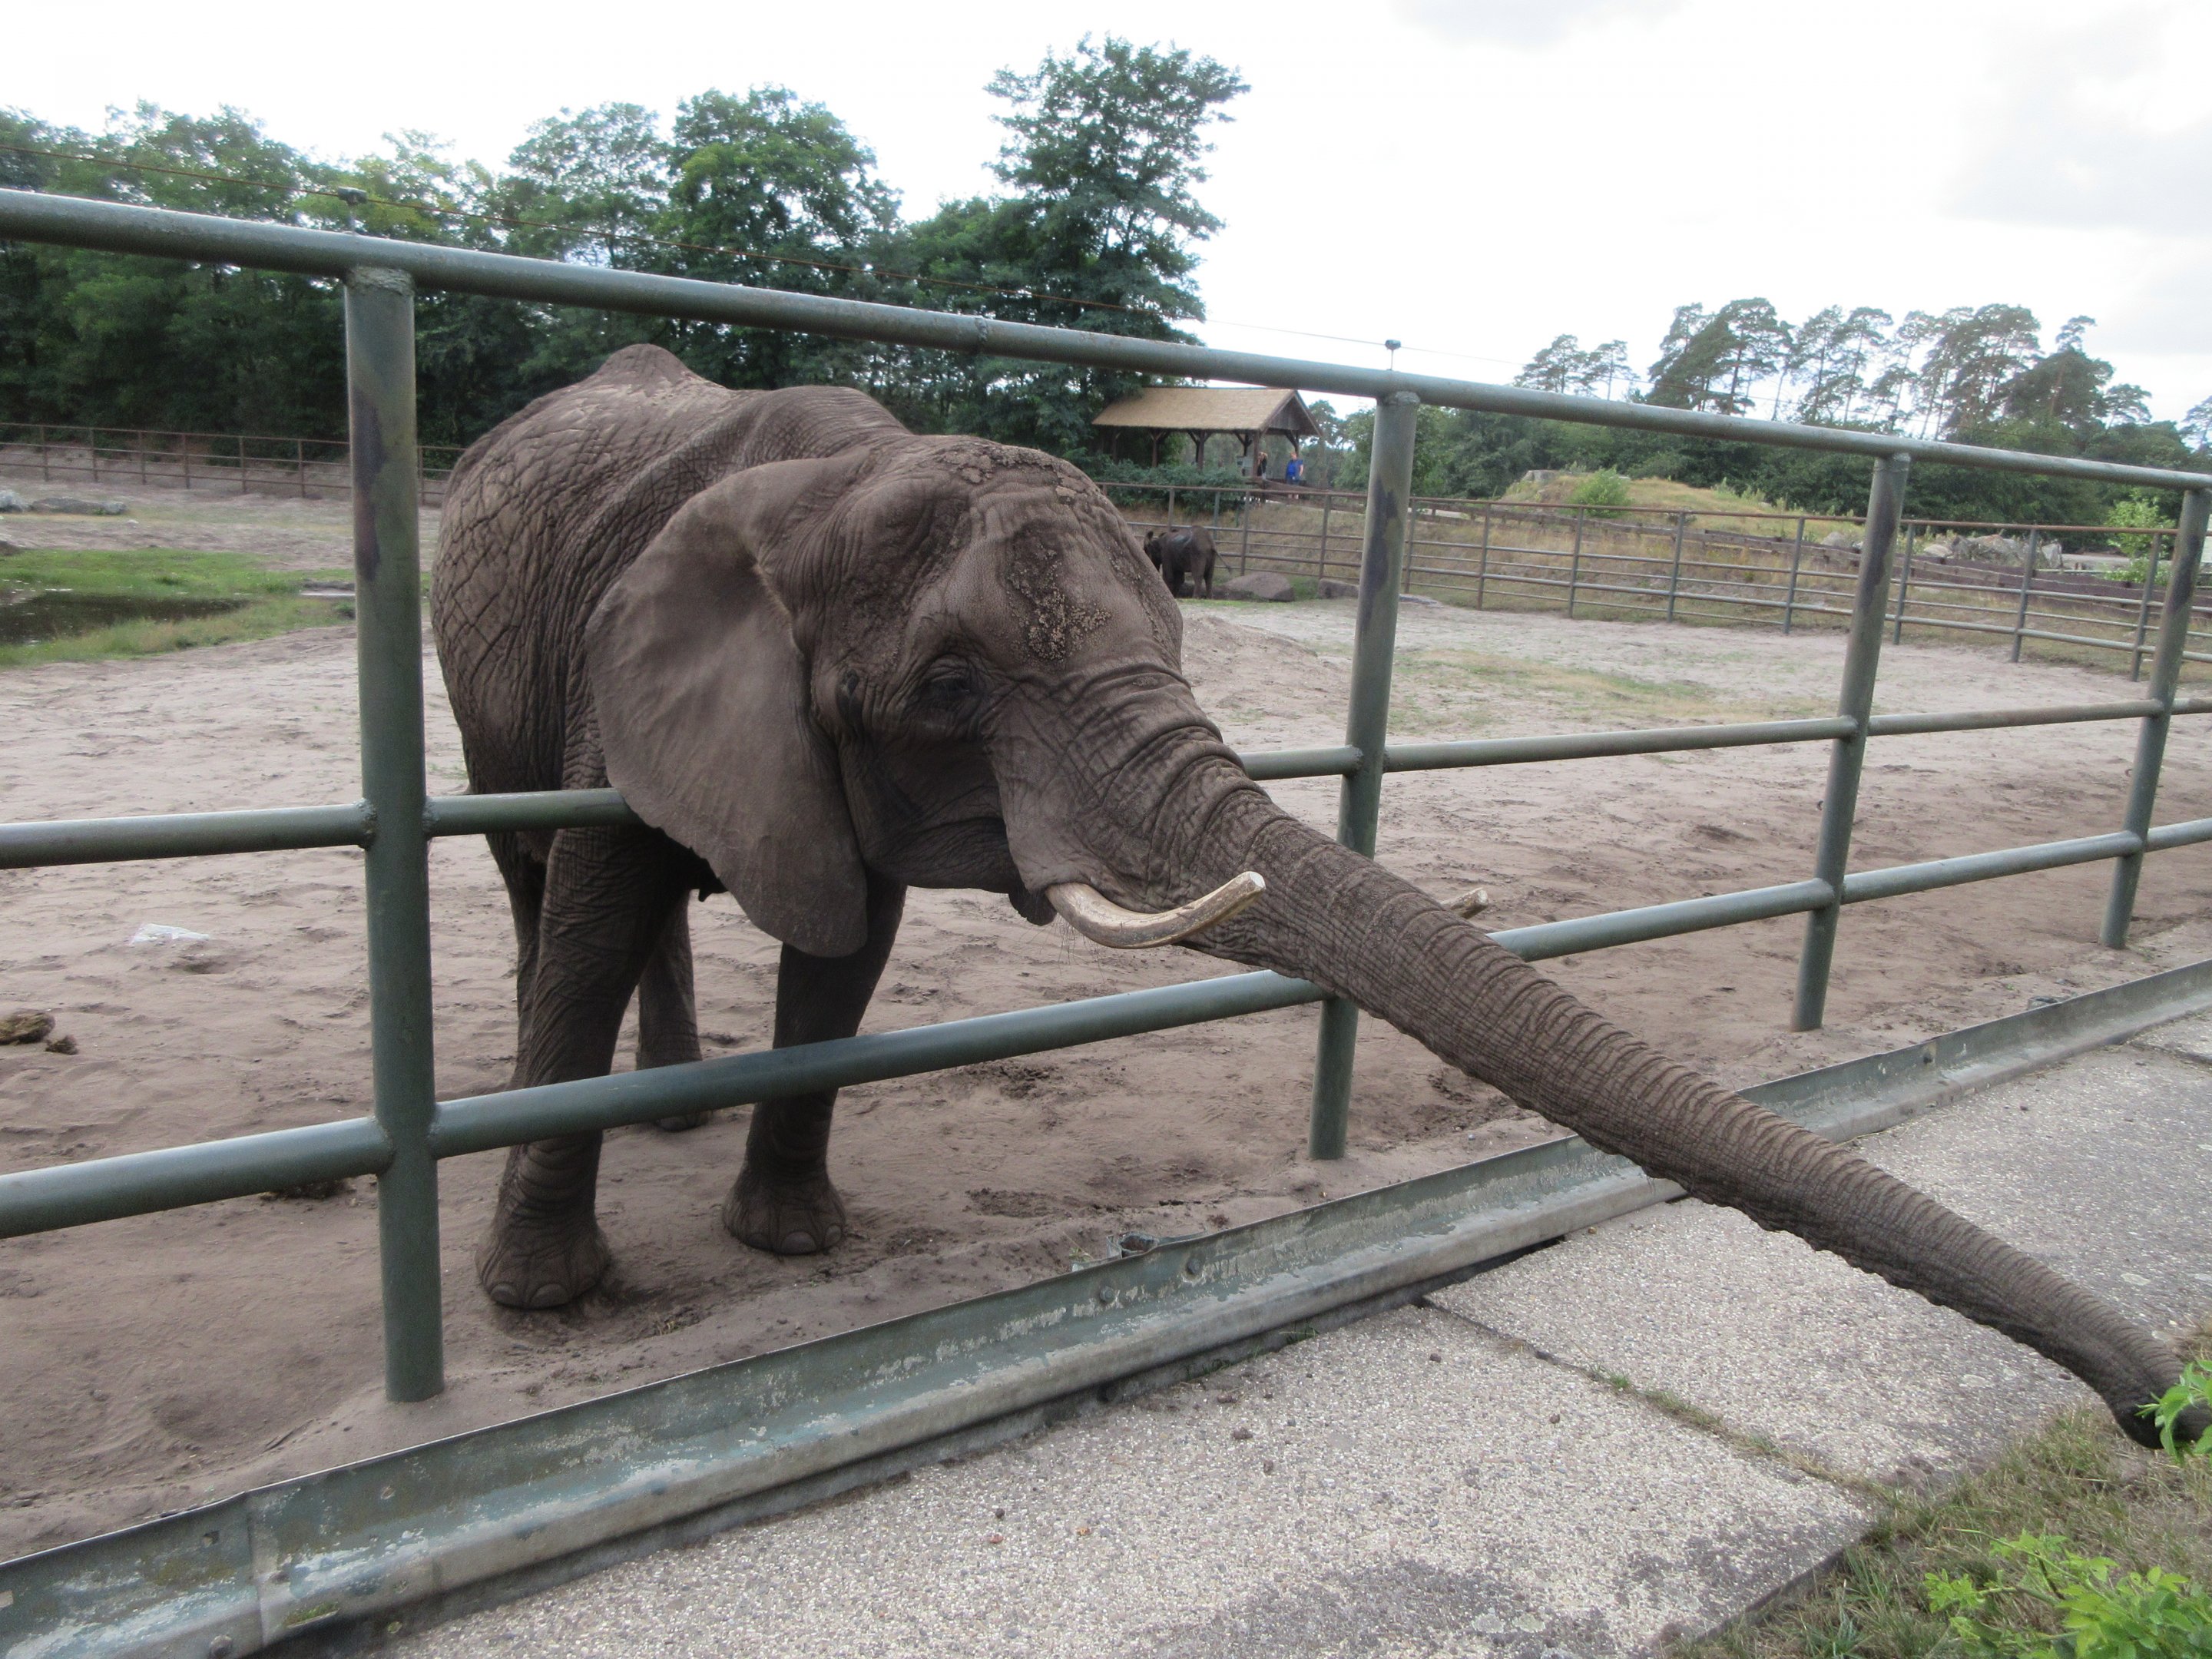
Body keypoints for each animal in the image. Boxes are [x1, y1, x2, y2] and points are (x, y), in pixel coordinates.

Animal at [433, 343, 2195, 1446]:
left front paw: (798, 1249)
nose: (2169, 1412)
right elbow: (597, 903)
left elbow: (847, 952)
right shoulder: (631, 681)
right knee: (540, 891)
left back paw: (673, 1110)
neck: (836, 478)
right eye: (947, 683)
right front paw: (549, 1309)